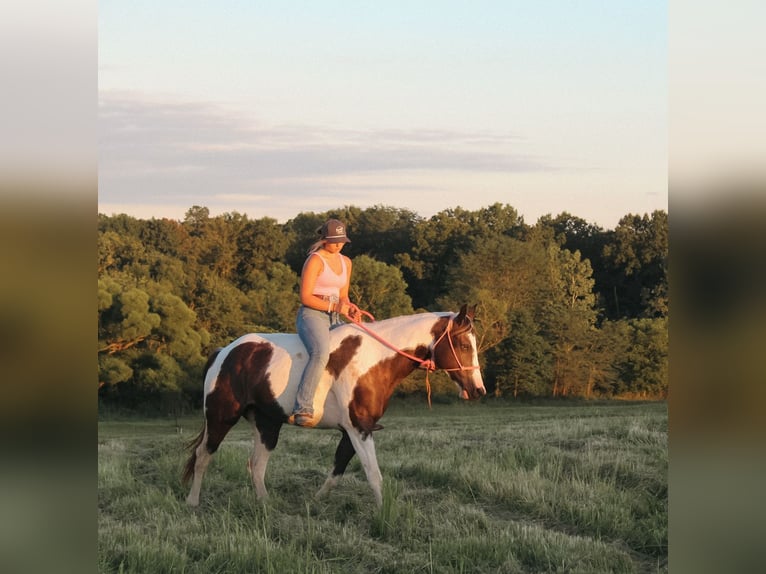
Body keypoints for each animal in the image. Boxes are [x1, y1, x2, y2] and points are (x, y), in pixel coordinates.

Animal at [182, 304, 486, 507]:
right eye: (463, 344)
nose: (478, 390)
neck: (373, 360)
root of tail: (224, 353)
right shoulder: (359, 429)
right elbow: (373, 475)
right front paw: (385, 516)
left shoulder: (354, 430)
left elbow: (339, 469)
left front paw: (315, 502)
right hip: (221, 417)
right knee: (203, 455)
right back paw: (193, 502)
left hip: (267, 424)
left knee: (256, 465)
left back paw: (266, 504)